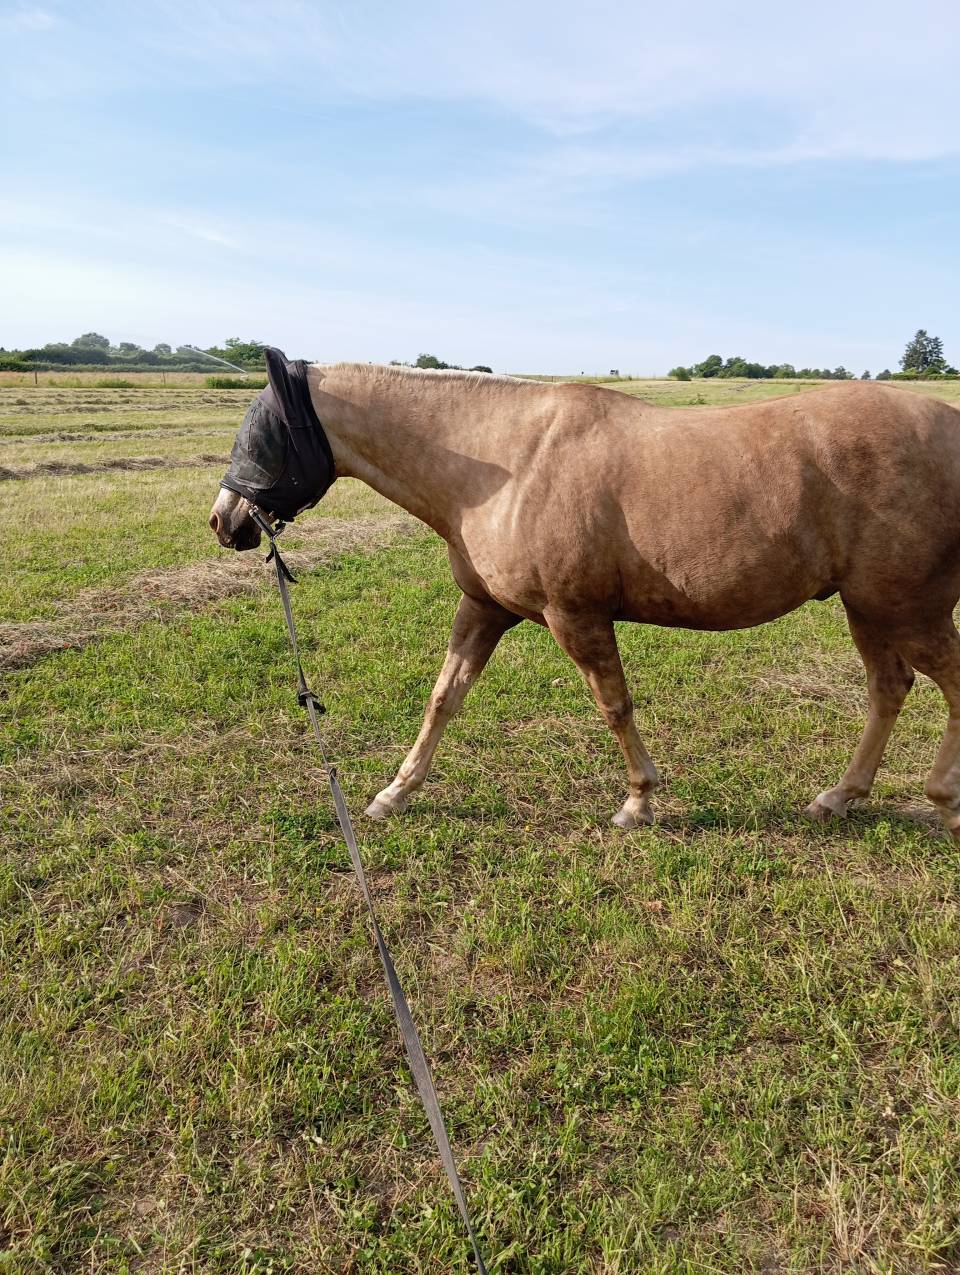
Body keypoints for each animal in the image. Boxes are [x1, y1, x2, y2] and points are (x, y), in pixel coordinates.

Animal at [209, 352, 960, 838]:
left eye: (263, 432)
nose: (224, 520)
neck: (509, 464)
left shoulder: (574, 616)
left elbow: (614, 705)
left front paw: (638, 803)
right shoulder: (485, 609)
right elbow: (444, 697)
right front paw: (395, 792)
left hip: (905, 609)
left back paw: (941, 798)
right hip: (872, 609)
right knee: (890, 687)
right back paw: (843, 796)